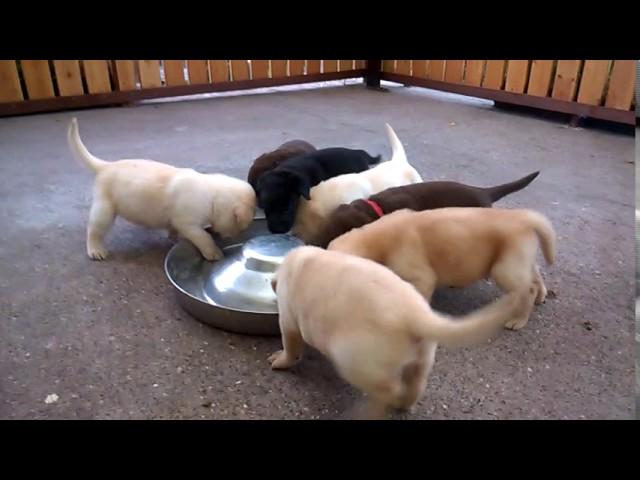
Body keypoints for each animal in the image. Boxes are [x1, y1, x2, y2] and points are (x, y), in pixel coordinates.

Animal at [66, 118, 254, 260]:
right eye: (241, 226)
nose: (236, 236)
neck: (212, 196)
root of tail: (106, 166)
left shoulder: (179, 222)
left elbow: (174, 229)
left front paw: (174, 238)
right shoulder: (189, 223)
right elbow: (203, 237)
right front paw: (213, 252)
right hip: (104, 210)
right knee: (94, 230)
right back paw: (95, 250)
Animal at [268, 246, 536, 418]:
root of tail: (414, 314)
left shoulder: (288, 318)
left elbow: (291, 346)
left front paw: (278, 360)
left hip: (355, 359)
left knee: (388, 389)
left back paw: (371, 411)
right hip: (423, 357)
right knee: (415, 384)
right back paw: (404, 405)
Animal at [330, 208, 556, 332]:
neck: (377, 237)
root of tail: (524, 218)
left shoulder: (421, 277)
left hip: (504, 268)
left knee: (527, 288)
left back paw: (519, 320)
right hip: (518, 258)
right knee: (535, 276)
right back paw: (541, 296)